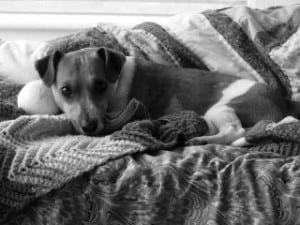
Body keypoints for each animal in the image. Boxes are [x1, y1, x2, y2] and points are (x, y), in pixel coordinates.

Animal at [33, 47, 292, 146]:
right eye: (65, 90)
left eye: (100, 85)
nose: (88, 126)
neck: (116, 80)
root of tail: (283, 107)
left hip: (221, 109)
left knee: (234, 131)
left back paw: (201, 140)